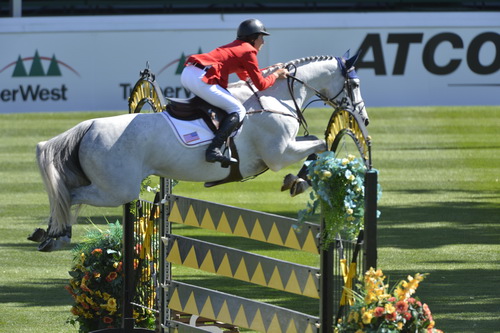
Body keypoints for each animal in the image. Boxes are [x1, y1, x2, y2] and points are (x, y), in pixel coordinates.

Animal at [32, 52, 368, 249]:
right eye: (354, 85)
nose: (363, 119)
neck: (276, 98)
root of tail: (88, 126)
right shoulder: (279, 154)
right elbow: (321, 147)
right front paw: (298, 181)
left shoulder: (285, 149)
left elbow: (317, 147)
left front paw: (297, 180)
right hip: (117, 190)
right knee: (69, 197)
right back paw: (57, 235)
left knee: (65, 194)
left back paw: (47, 235)